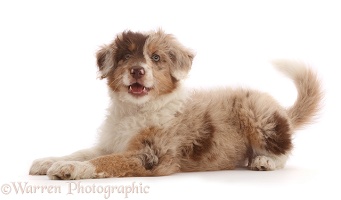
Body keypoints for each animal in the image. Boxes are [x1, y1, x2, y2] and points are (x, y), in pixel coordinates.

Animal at [27, 29, 320, 180]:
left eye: (155, 58)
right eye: (125, 57)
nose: (137, 71)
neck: (136, 109)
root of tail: (283, 112)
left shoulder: (151, 156)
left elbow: (107, 161)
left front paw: (71, 169)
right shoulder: (111, 141)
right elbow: (84, 151)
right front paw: (50, 161)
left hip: (256, 112)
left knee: (283, 150)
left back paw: (264, 161)